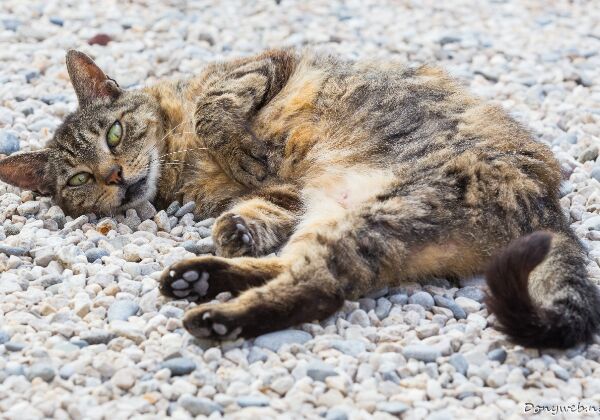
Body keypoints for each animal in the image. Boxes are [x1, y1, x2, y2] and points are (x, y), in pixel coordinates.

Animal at [1, 49, 599, 348]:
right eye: (78, 180)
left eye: (115, 133)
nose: (116, 175)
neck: (177, 159)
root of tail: (550, 211)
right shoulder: (291, 192)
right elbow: (264, 205)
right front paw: (238, 226)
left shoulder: (262, 64)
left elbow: (214, 108)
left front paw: (243, 151)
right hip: (347, 213)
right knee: (306, 274)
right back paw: (202, 282)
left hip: (387, 208)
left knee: (320, 286)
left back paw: (217, 314)